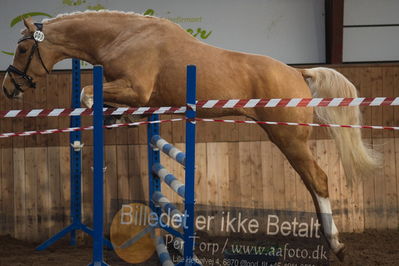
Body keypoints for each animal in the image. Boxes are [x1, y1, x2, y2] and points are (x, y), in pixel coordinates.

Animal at [1, 10, 380, 262]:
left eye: (23, 50)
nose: (8, 88)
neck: (123, 37)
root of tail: (298, 73)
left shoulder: (136, 89)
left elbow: (86, 95)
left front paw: (97, 123)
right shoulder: (136, 96)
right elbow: (98, 99)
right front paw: (113, 118)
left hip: (288, 138)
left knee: (318, 179)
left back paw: (336, 245)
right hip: (288, 139)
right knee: (311, 182)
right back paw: (327, 241)